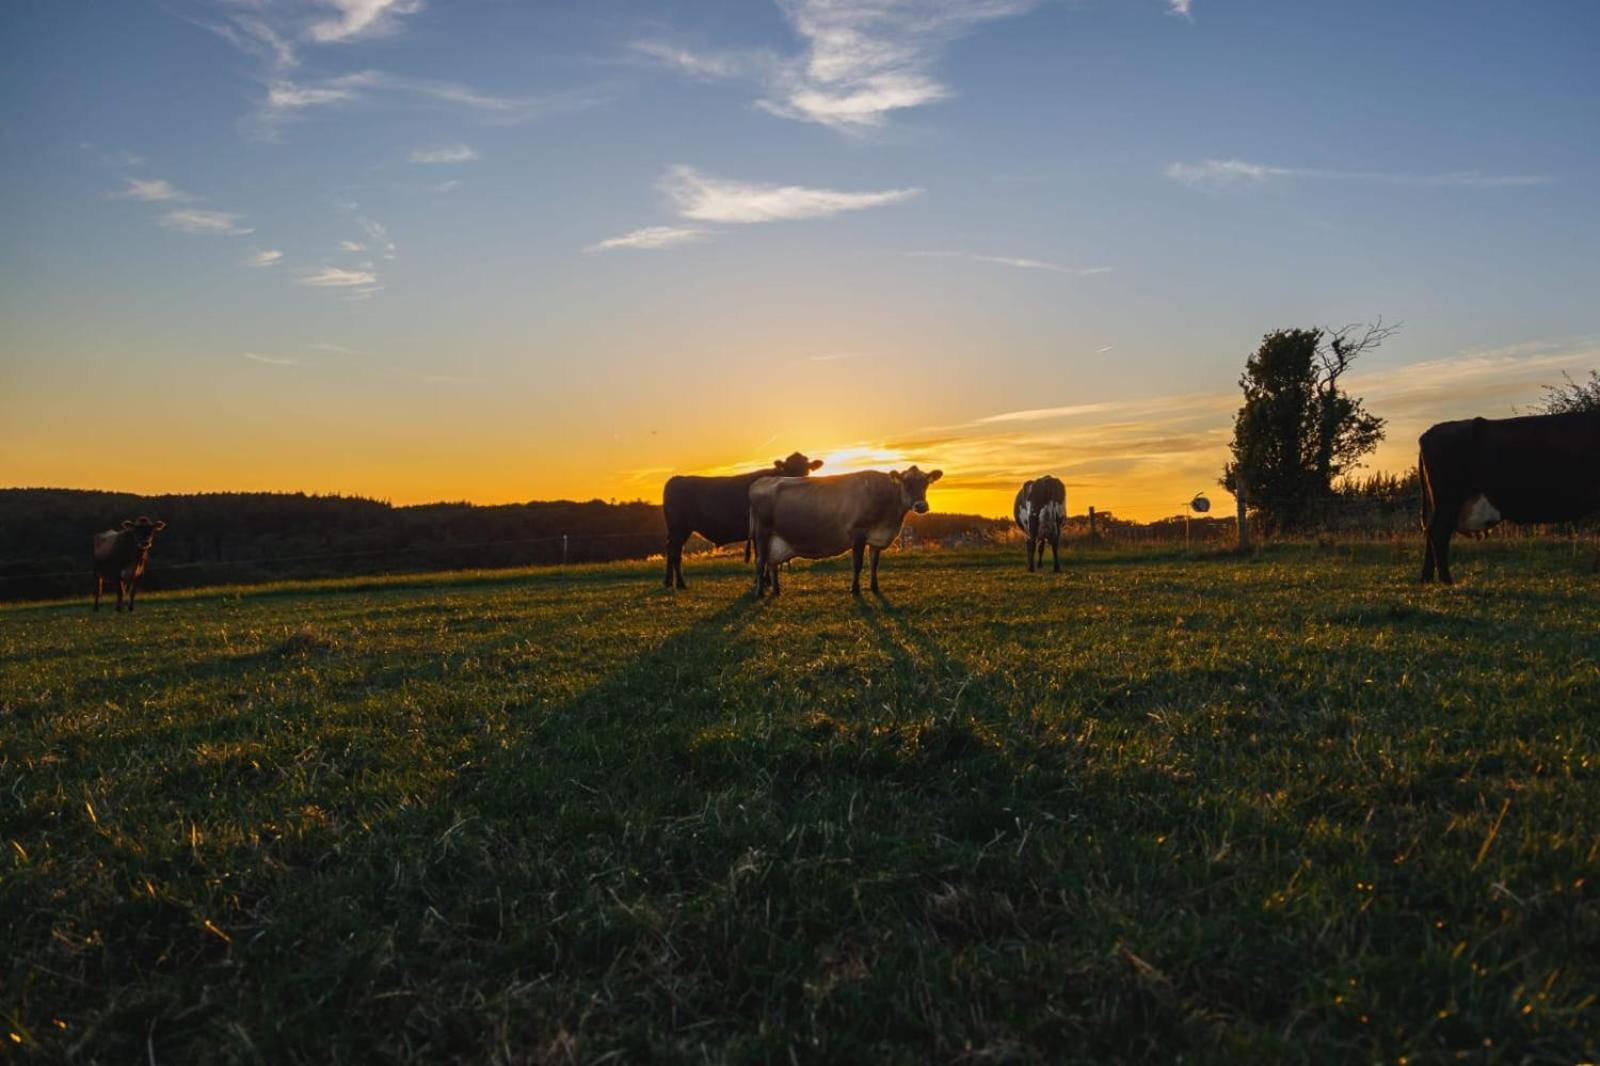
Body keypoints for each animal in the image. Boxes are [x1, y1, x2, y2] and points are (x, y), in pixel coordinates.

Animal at [659, 444, 825, 585]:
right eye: (788, 469)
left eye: (807, 469)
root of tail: (676, 478)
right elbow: (761, 555)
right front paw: (763, 581)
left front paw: (766, 580)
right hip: (678, 528)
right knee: (675, 552)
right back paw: (680, 583)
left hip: (679, 530)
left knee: (670, 549)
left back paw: (668, 581)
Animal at [745, 464, 934, 598]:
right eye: (906, 483)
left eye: (925, 483)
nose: (921, 506)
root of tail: (760, 482)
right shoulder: (858, 533)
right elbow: (857, 563)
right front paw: (855, 590)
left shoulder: (876, 538)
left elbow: (874, 564)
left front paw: (875, 588)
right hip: (762, 534)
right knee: (760, 562)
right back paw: (759, 593)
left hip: (775, 539)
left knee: (772, 563)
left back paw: (776, 591)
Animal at [1420, 412, 1593, 582]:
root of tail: (1428, 433)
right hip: (1448, 502)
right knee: (1438, 533)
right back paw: (1447, 581)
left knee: (1430, 532)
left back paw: (1427, 579)